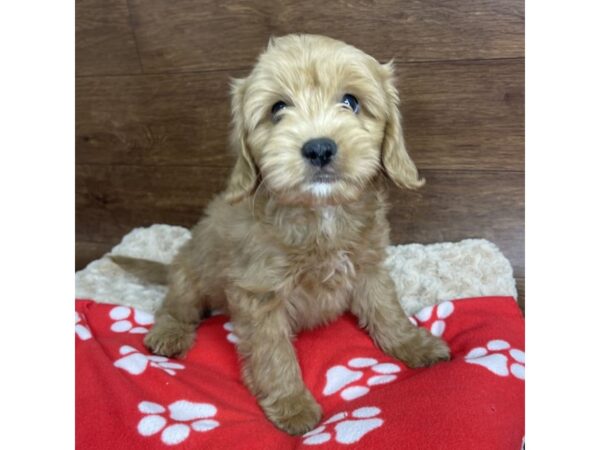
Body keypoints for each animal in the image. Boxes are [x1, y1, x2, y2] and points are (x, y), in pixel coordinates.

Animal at [117, 35, 450, 436]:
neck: (320, 214)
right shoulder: (259, 294)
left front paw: (414, 344)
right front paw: (292, 404)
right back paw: (169, 334)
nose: (319, 148)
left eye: (351, 101)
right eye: (278, 108)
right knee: (175, 305)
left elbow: (387, 309)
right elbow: (273, 351)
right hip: (190, 275)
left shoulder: (369, 266)